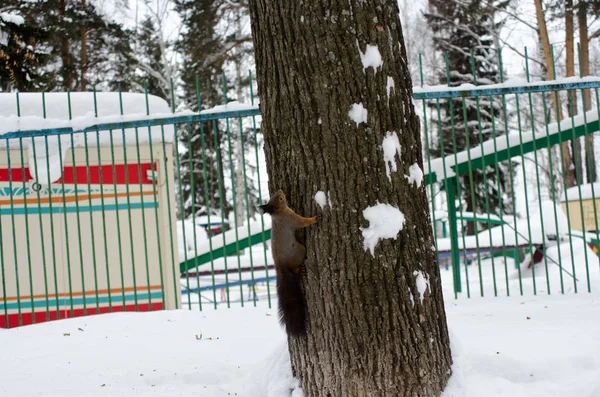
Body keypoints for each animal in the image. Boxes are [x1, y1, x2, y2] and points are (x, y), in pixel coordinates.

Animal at [262, 190, 318, 336]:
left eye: (277, 196)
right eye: (280, 199)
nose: (281, 191)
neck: (279, 213)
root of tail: (280, 266)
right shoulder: (292, 219)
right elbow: (303, 222)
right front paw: (314, 218)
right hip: (299, 250)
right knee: (294, 268)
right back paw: (299, 269)